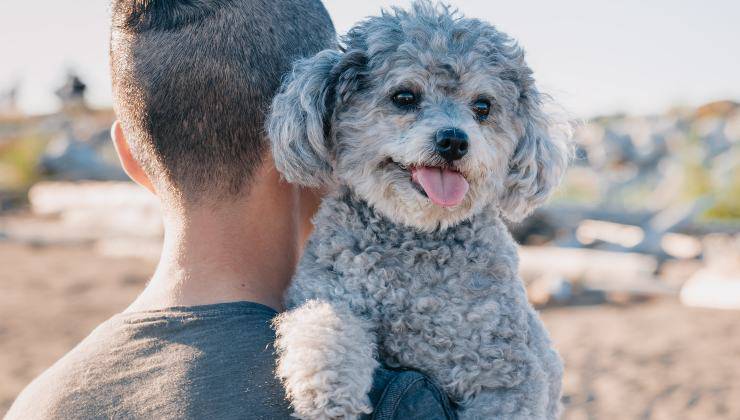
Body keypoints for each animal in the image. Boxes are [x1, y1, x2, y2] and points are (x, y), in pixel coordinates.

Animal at [268, 1, 568, 418]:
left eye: (483, 106)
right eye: (405, 96)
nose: (453, 140)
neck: (418, 237)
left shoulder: (508, 373)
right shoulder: (325, 290)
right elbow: (324, 327)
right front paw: (327, 398)